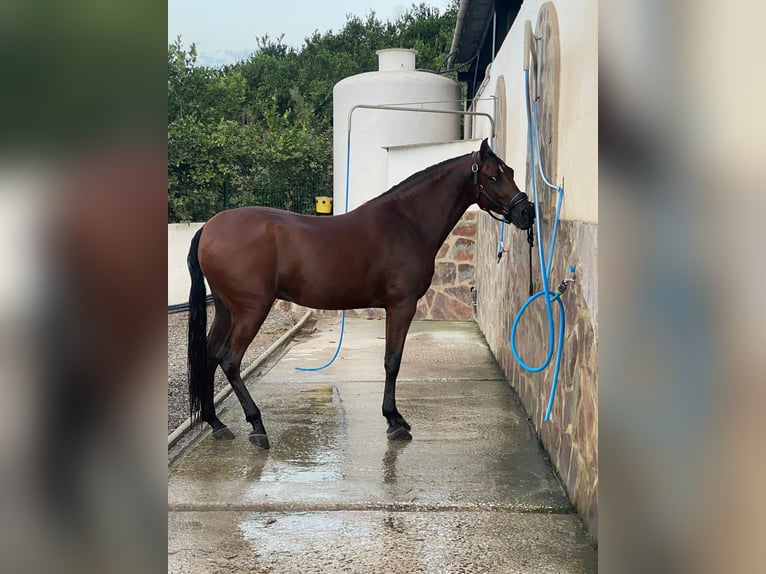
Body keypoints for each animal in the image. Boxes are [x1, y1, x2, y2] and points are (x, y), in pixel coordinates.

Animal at [187, 138, 535, 448]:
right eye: (493, 176)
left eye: (510, 170)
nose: (526, 214)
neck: (407, 222)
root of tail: (209, 228)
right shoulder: (401, 305)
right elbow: (393, 361)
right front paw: (394, 421)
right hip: (251, 310)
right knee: (229, 360)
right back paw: (257, 427)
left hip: (226, 310)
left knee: (209, 356)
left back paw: (217, 424)